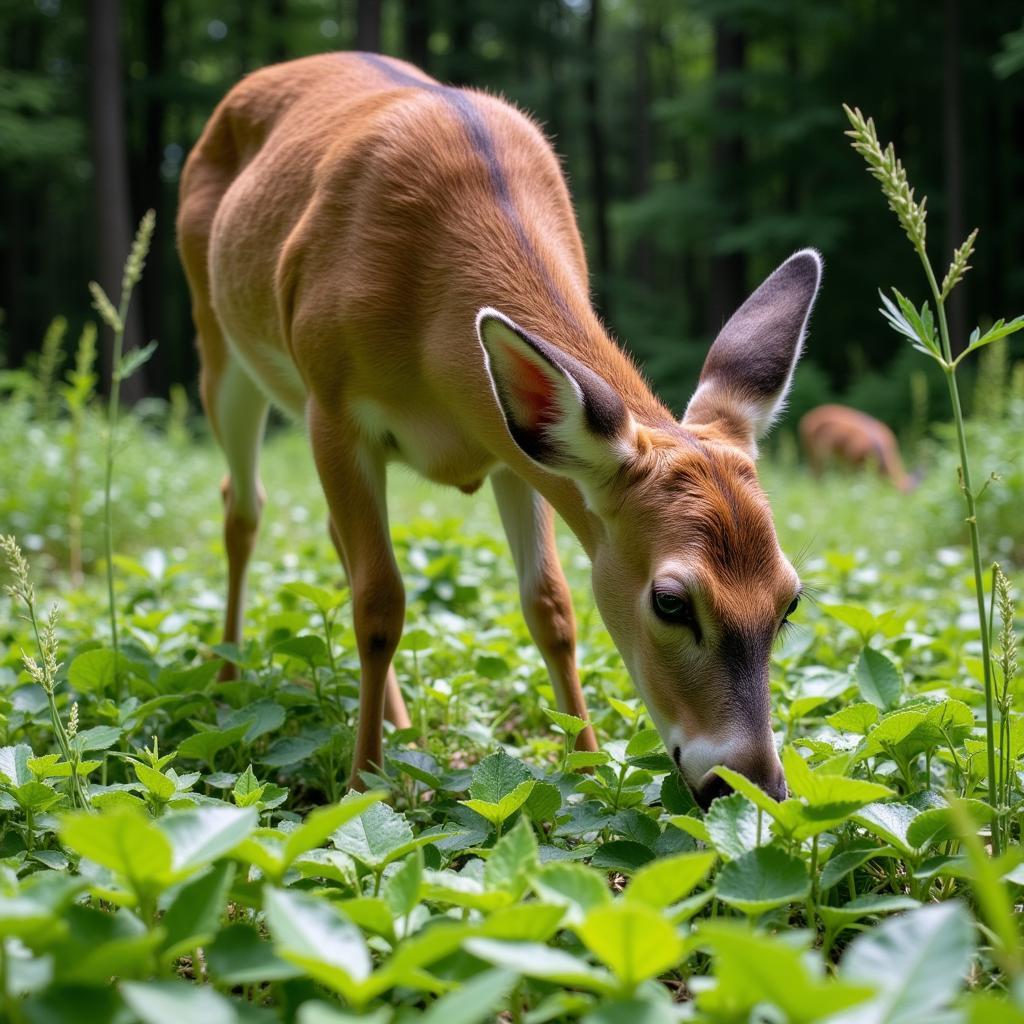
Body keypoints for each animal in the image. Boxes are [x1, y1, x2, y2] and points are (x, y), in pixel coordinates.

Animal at [174, 54, 815, 806]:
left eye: (790, 599)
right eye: (670, 601)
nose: (749, 784)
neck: (430, 336)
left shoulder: (517, 445)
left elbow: (552, 607)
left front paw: (585, 771)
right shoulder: (333, 408)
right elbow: (379, 604)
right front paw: (363, 786)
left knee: (331, 532)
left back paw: (396, 717)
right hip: (220, 342)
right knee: (243, 505)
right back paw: (228, 683)